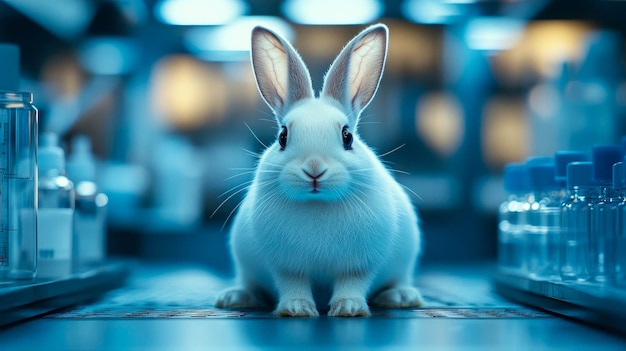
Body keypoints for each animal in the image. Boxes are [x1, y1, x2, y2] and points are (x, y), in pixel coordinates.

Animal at [216, 23, 424, 318]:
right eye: (282, 136)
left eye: (347, 136)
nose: (314, 169)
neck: (318, 204)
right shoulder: (287, 266)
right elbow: (293, 284)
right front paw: (296, 309)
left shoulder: (358, 265)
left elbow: (352, 284)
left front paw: (349, 309)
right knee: (249, 284)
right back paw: (236, 297)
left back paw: (400, 296)